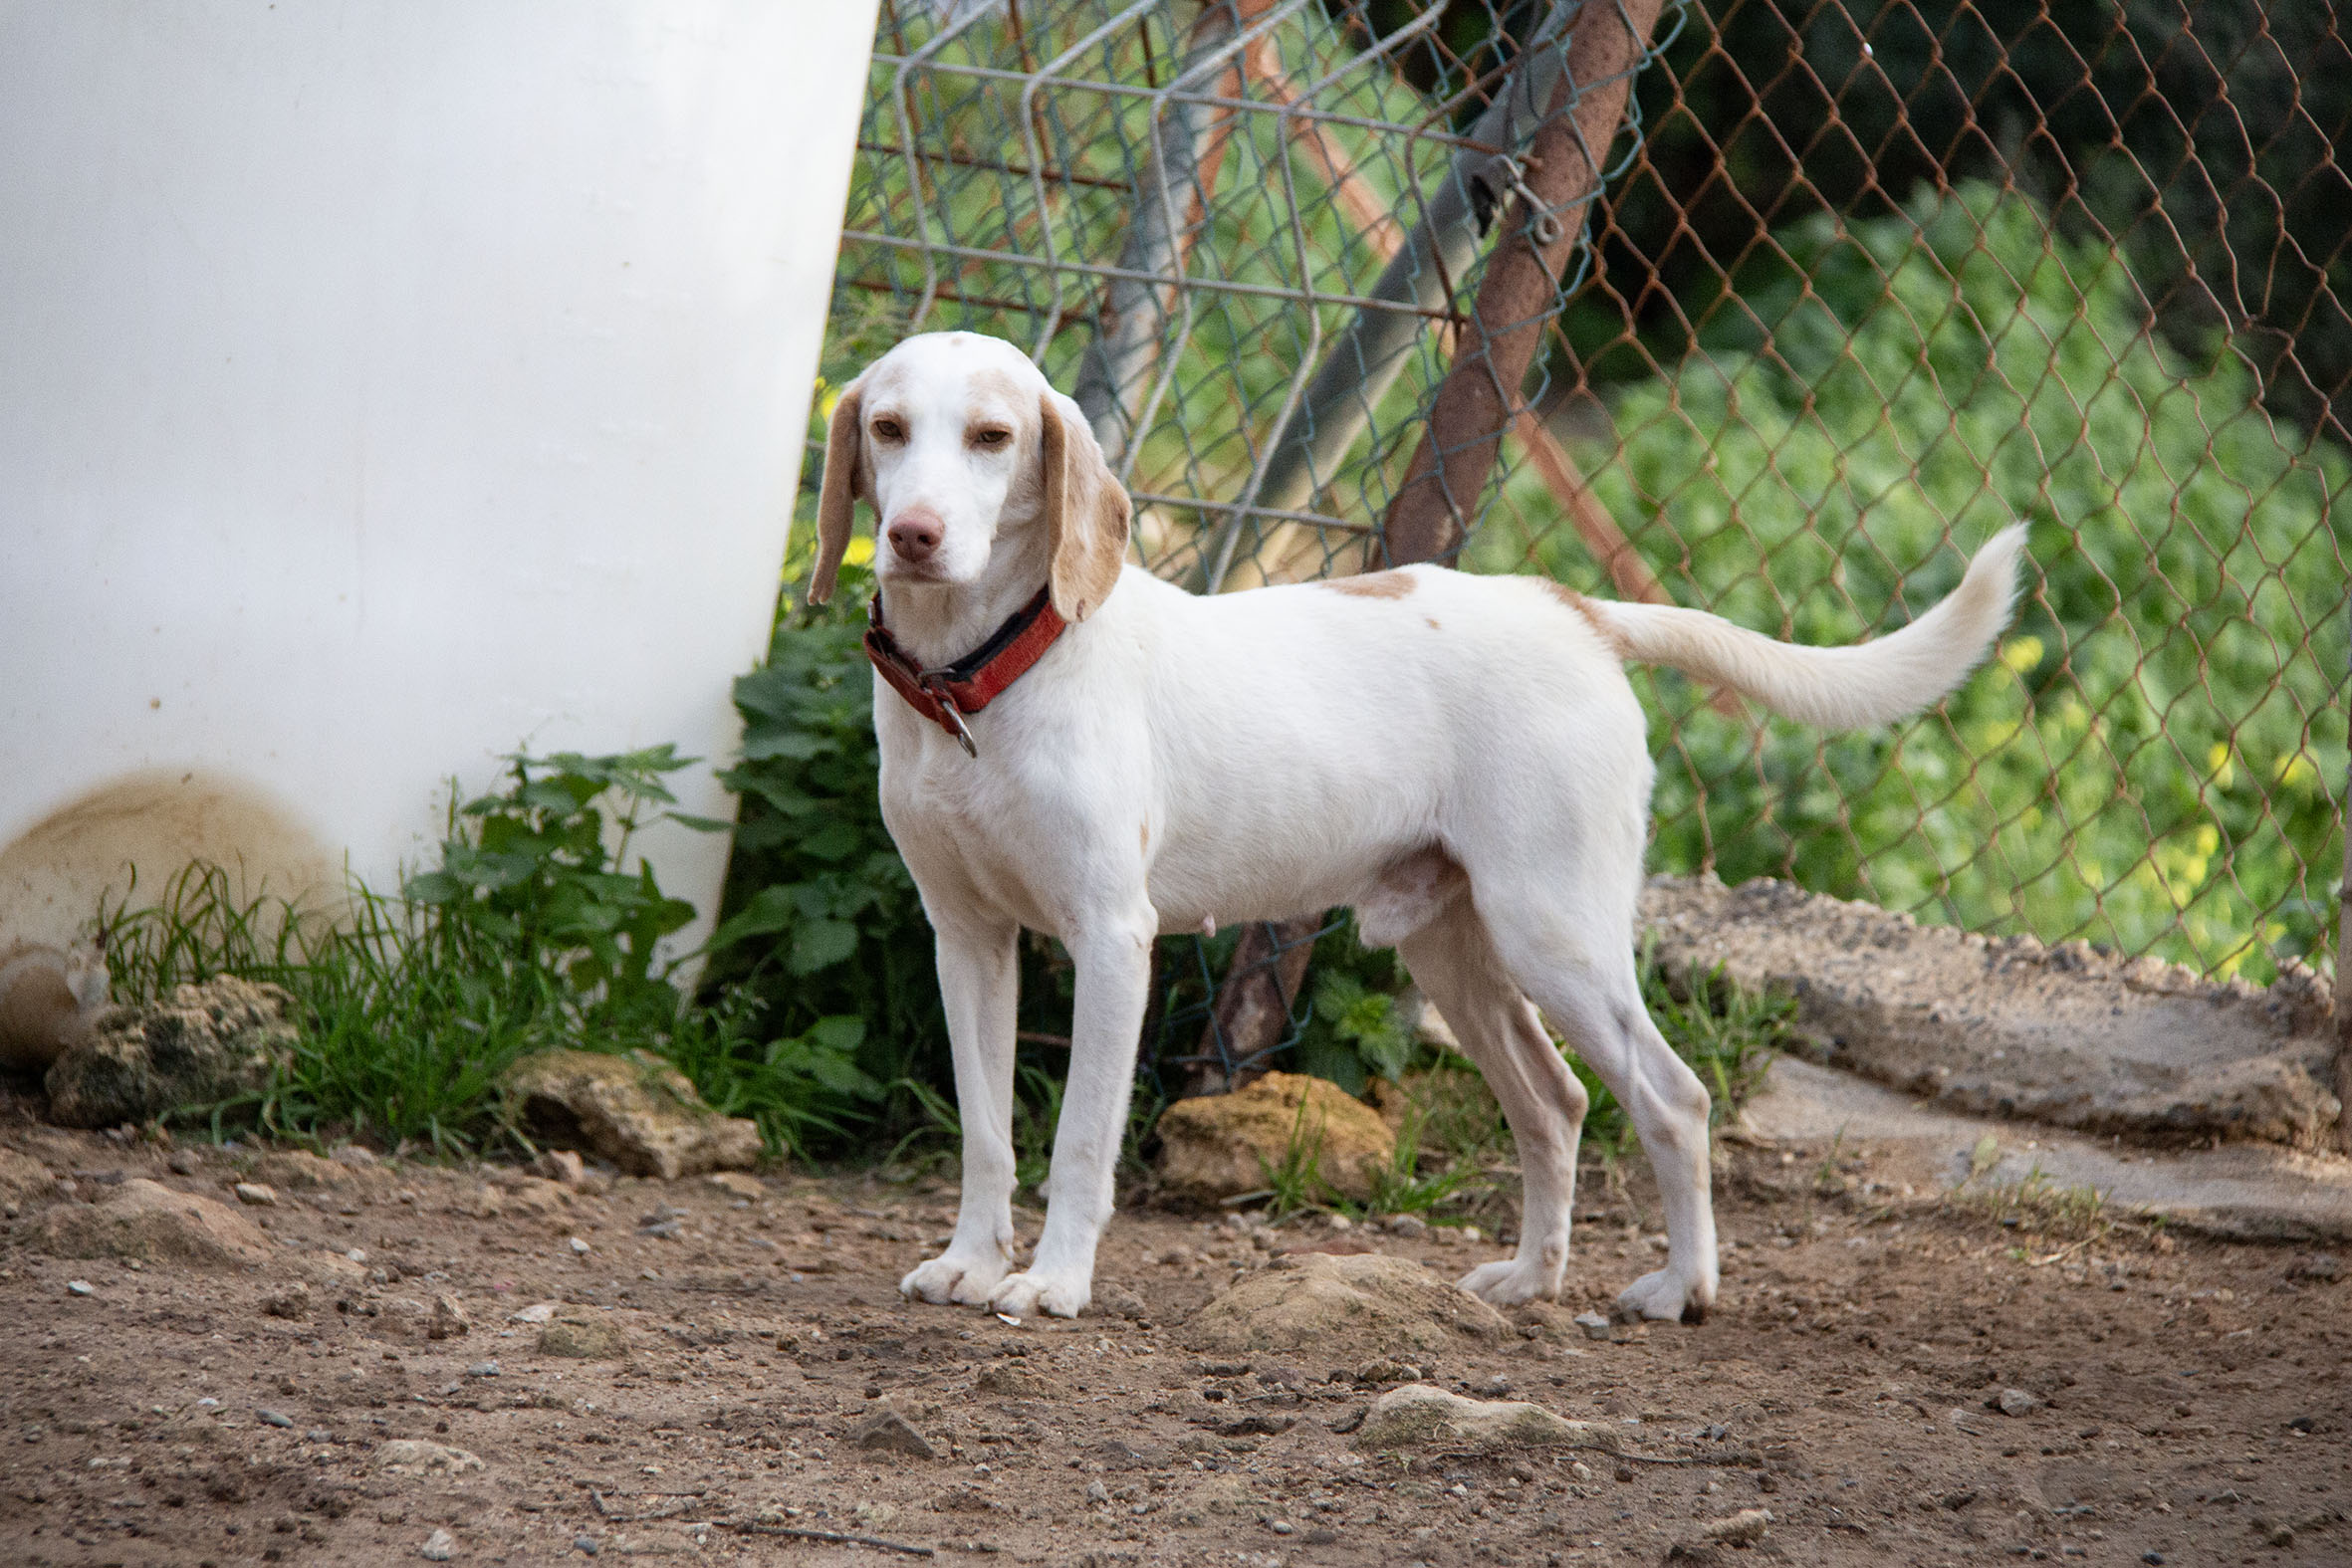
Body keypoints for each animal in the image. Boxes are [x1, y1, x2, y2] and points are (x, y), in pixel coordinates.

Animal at [809, 330, 2024, 1323]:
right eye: (888, 427)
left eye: (993, 438)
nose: (912, 536)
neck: (977, 682)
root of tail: (1573, 607)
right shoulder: (967, 940)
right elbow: (985, 1134)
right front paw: (972, 1264)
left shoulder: (1113, 941)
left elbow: (1077, 1141)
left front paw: (1054, 1282)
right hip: (1452, 946)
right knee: (1557, 1103)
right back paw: (1531, 1279)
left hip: (1554, 934)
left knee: (1671, 1099)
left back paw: (1681, 1289)